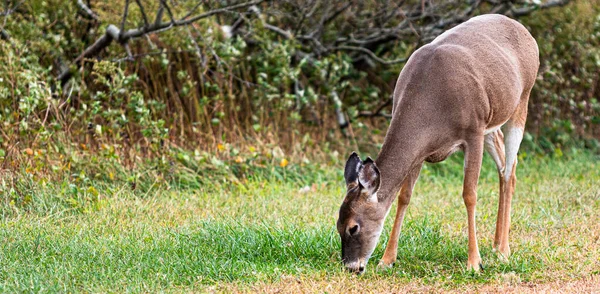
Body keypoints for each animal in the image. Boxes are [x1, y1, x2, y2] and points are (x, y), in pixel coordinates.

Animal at [338, 13, 540, 274]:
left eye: (354, 227)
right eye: (337, 224)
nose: (351, 266)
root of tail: (524, 30)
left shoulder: (473, 131)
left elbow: (469, 194)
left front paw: (474, 263)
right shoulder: (421, 151)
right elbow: (404, 197)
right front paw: (387, 259)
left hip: (520, 102)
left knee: (509, 170)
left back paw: (503, 250)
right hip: (491, 123)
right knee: (506, 165)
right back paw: (496, 245)